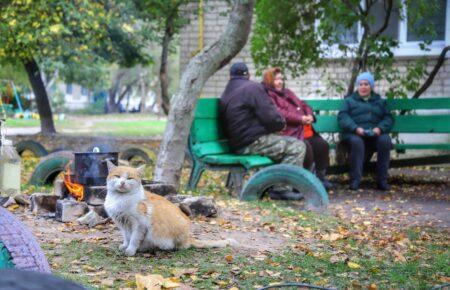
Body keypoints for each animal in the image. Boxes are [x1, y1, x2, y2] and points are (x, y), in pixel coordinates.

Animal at [103, 162, 236, 258]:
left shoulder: (139, 225)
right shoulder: (123, 224)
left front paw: (130, 250)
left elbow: (134, 239)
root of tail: (189, 237)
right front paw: (125, 246)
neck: (119, 199)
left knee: (181, 247)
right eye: (117, 176)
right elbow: (126, 237)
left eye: (129, 178)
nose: (122, 182)